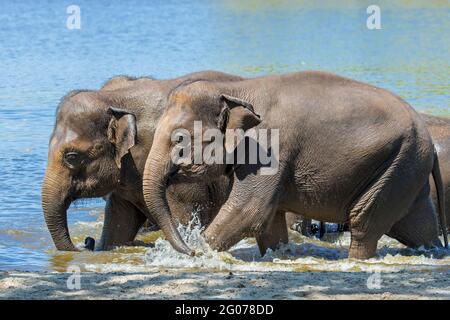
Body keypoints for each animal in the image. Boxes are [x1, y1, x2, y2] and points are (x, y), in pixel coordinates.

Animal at [142, 71, 448, 258]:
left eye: (179, 138)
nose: (189, 248)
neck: (235, 88)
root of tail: (427, 136)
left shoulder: (267, 148)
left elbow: (248, 211)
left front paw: (200, 251)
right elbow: (269, 225)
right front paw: (278, 254)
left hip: (398, 164)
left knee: (364, 224)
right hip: (405, 167)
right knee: (416, 227)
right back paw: (433, 251)